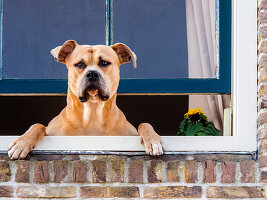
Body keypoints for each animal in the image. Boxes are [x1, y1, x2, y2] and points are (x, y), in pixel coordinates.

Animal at [7, 40, 164, 159]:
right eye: (79, 64)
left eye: (104, 63)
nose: (92, 74)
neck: (93, 113)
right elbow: (38, 125)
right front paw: (22, 142)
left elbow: (144, 124)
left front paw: (153, 140)